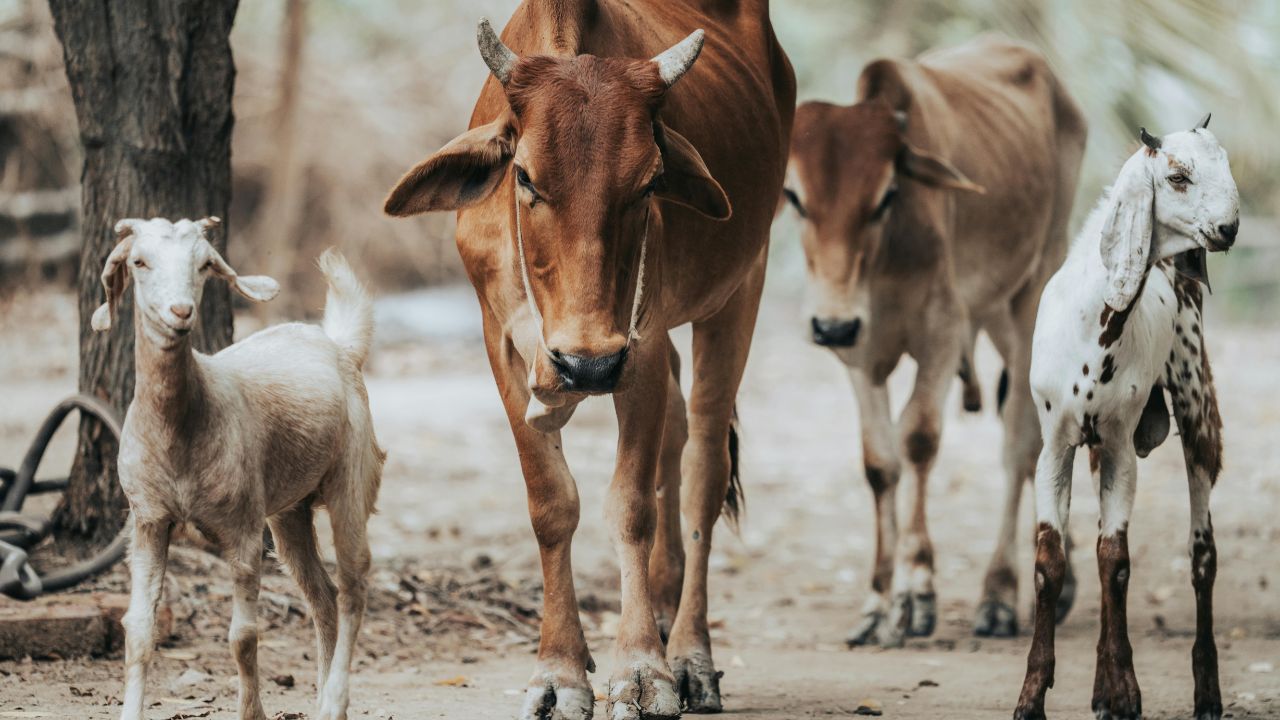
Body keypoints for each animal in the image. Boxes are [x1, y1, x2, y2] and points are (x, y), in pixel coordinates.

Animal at [384, 1, 795, 717]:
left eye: (650, 182)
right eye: (523, 176)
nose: (587, 369)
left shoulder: (641, 344)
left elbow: (631, 506)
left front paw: (643, 670)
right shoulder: (502, 342)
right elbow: (551, 504)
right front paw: (558, 671)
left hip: (740, 289)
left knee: (703, 469)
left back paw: (689, 654)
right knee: (677, 433)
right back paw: (663, 608)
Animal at [781, 35, 1087, 646]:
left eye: (886, 196)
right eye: (795, 197)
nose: (830, 325)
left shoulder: (943, 335)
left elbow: (918, 439)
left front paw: (915, 591)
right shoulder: (858, 356)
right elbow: (881, 461)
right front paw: (878, 603)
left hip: (1033, 294)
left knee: (1022, 445)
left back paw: (1000, 594)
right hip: (991, 313)